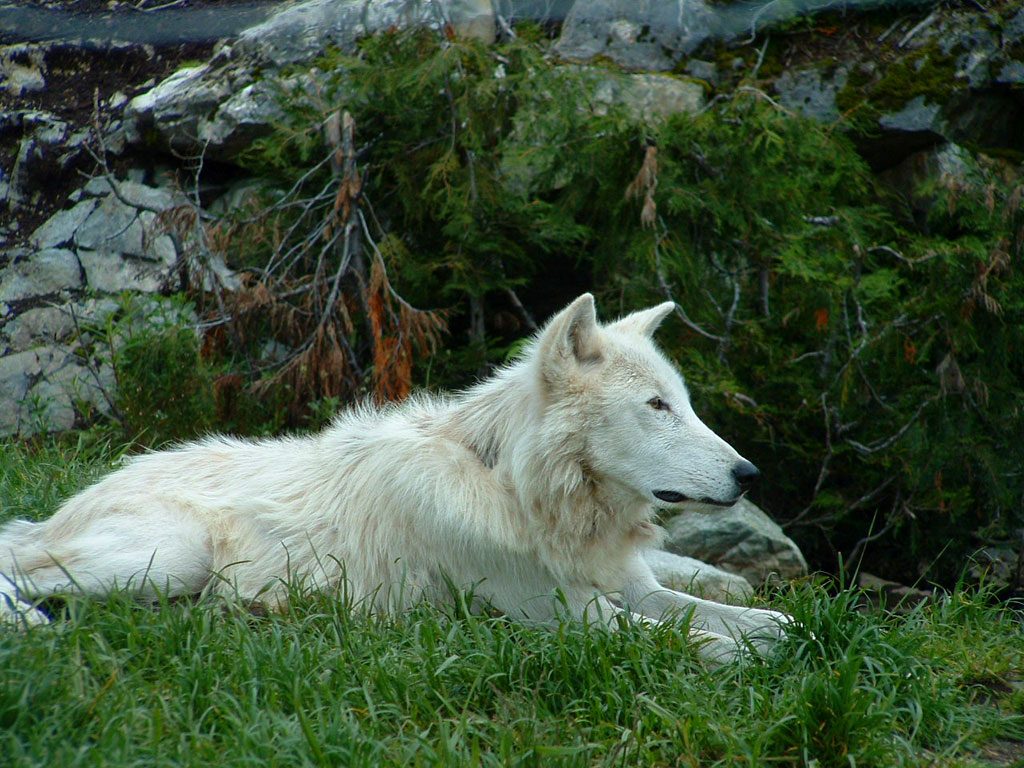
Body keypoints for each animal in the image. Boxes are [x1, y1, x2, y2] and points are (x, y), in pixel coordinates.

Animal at [0, 294, 790, 661]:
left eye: (684, 402)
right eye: (657, 407)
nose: (750, 474)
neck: (515, 491)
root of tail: (73, 501)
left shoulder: (634, 588)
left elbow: (751, 619)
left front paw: (783, 632)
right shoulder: (562, 617)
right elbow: (704, 642)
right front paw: (753, 660)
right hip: (170, 553)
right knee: (23, 570)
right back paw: (30, 626)